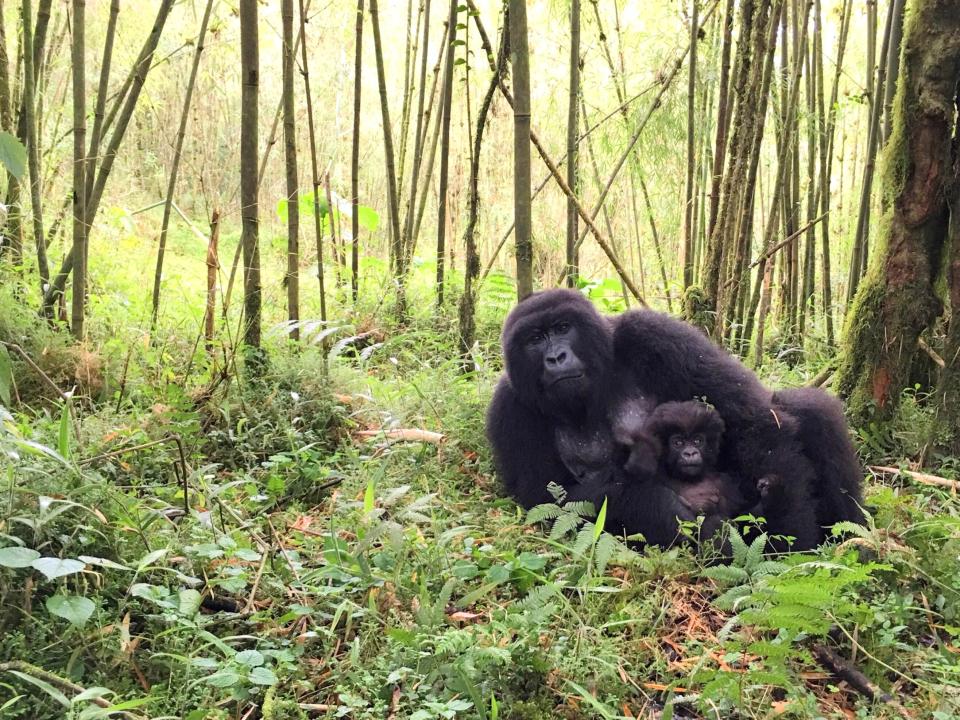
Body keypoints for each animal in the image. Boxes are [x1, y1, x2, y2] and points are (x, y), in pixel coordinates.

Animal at [488, 290, 864, 548]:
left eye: (563, 328)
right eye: (536, 339)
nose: (556, 357)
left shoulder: (650, 331)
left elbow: (753, 419)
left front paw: (789, 530)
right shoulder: (508, 407)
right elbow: (555, 502)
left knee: (811, 411)